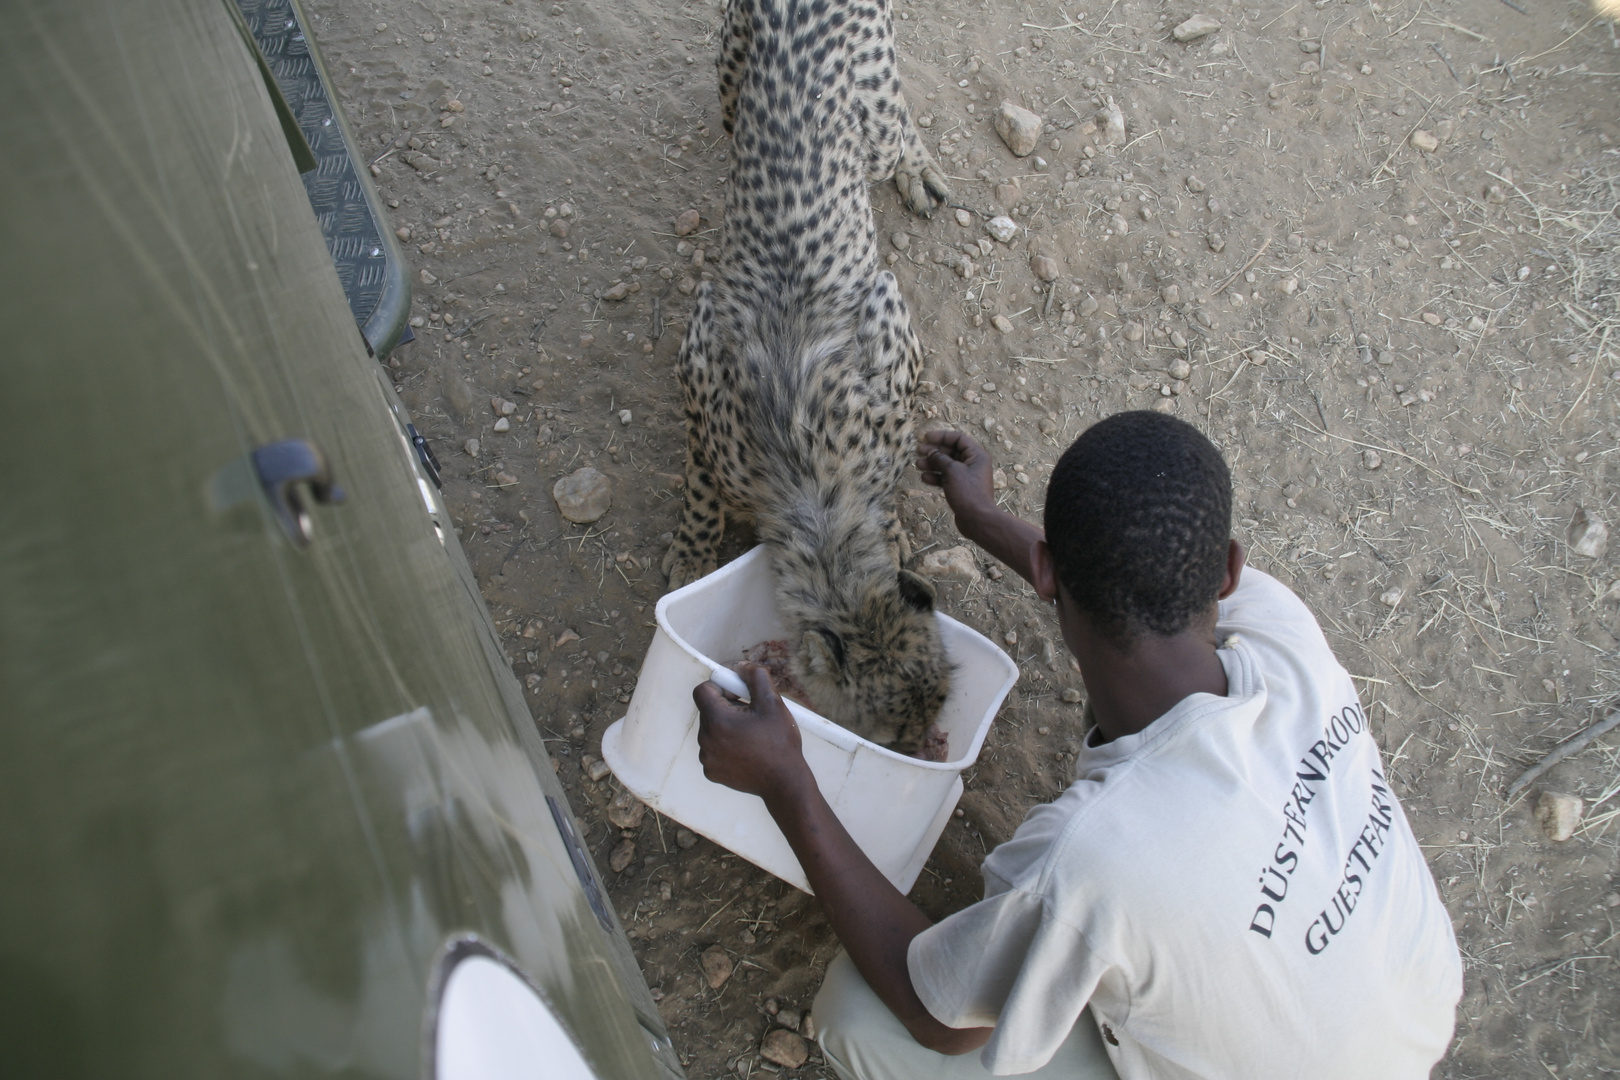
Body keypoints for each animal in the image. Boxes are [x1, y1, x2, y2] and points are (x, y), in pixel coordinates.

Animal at [657, 0, 952, 751]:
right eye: (887, 731)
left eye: (940, 701)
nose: (926, 750)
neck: (814, 482)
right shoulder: (700, 355)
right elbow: (699, 485)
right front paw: (692, 550)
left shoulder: (891, 330)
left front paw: (894, 532)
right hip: (734, 78)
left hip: (866, 114)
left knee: (899, 132)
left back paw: (919, 172)